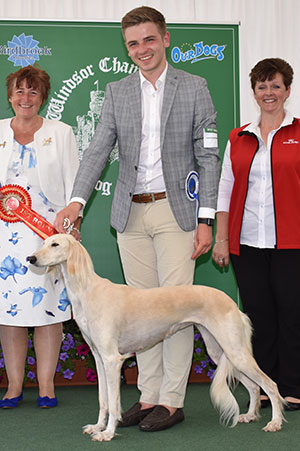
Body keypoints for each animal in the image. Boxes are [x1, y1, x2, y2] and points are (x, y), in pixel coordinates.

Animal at [26, 235, 284, 444]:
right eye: (44, 242)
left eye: (55, 244)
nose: (31, 258)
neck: (87, 291)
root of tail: (232, 303)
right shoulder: (99, 359)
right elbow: (103, 399)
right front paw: (98, 426)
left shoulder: (112, 360)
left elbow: (113, 401)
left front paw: (108, 433)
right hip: (221, 352)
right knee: (253, 385)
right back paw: (250, 415)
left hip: (234, 351)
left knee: (270, 384)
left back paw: (275, 422)